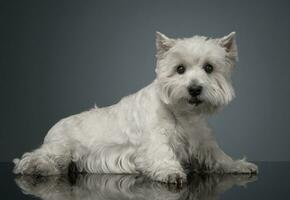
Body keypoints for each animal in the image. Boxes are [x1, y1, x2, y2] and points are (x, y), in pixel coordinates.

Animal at [13, 32, 258, 184]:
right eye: (180, 69)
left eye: (209, 68)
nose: (195, 89)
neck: (183, 114)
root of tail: (54, 126)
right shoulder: (155, 139)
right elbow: (162, 154)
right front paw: (171, 172)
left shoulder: (203, 141)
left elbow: (219, 157)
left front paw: (239, 165)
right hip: (61, 148)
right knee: (35, 158)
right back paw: (37, 167)